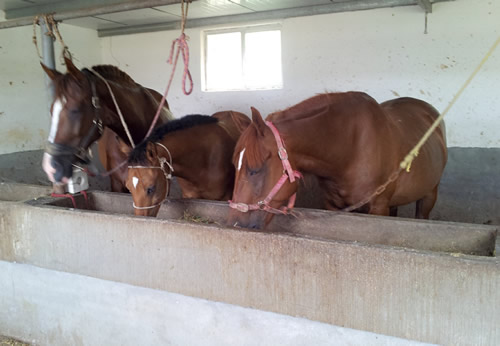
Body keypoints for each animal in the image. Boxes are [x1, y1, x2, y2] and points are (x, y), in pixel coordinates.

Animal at [229, 92, 448, 230]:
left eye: (254, 170)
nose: (236, 223)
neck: (351, 151)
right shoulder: (332, 205)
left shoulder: (378, 207)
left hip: (430, 193)